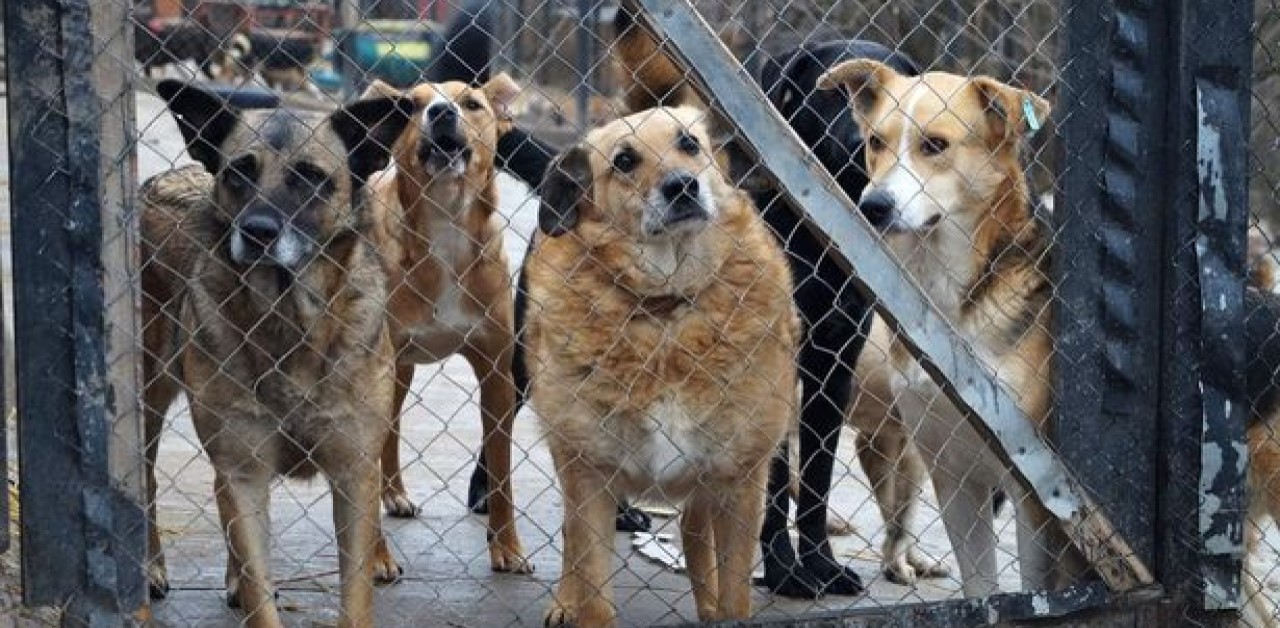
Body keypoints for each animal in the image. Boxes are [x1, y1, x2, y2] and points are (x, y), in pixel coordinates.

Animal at [145, 81, 414, 626]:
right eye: (238, 172)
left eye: (310, 179)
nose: (258, 232)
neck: (290, 323)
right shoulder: (244, 471)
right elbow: (260, 589)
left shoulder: (355, 474)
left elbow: (353, 595)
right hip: (148, 395)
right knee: (146, 482)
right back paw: (154, 568)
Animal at [363, 74, 532, 575]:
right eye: (412, 105)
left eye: (472, 104)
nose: (440, 112)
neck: (447, 226)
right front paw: (375, 558)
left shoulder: (498, 374)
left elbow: (501, 471)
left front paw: (508, 547)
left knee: (393, 428)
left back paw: (395, 493)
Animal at [524, 105, 793, 626]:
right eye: (625, 161)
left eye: (689, 143)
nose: (682, 186)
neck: (666, 308)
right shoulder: (589, 476)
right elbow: (592, 589)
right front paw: (576, 604)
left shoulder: (740, 480)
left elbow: (734, 595)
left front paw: (720, 608)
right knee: (570, 537)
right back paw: (564, 602)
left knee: (692, 530)